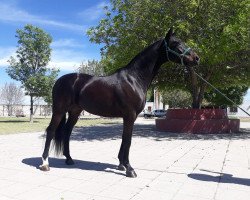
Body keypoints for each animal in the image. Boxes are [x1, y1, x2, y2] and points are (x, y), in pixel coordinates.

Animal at [39, 28, 199, 177]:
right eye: (176, 43)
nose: (196, 58)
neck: (134, 79)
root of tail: (59, 80)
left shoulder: (127, 116)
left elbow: (123, 139)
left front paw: (121, 165)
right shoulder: (130, 115)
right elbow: (128, 140)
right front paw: (129, 169)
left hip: (74, 111)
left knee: (67, 132)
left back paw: (69, 159)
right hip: (59, 110)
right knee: (51, 130)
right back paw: (45, 163)